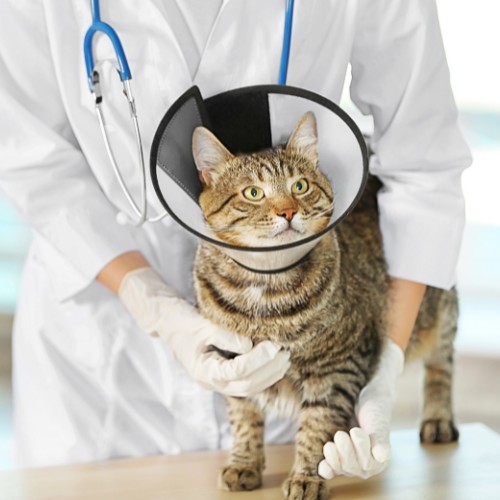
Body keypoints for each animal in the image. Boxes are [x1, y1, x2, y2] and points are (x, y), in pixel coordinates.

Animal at [189, 113, 458, 500]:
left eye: (300, 186)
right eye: (253, 193)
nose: (288, 211)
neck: (265, 289)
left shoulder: (337, 366)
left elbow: (317, 424)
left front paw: (307, 476)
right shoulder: (232, 364)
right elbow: (243, 417)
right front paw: (244, 463)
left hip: (440, 305)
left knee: (441, 364)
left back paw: (437, 419)